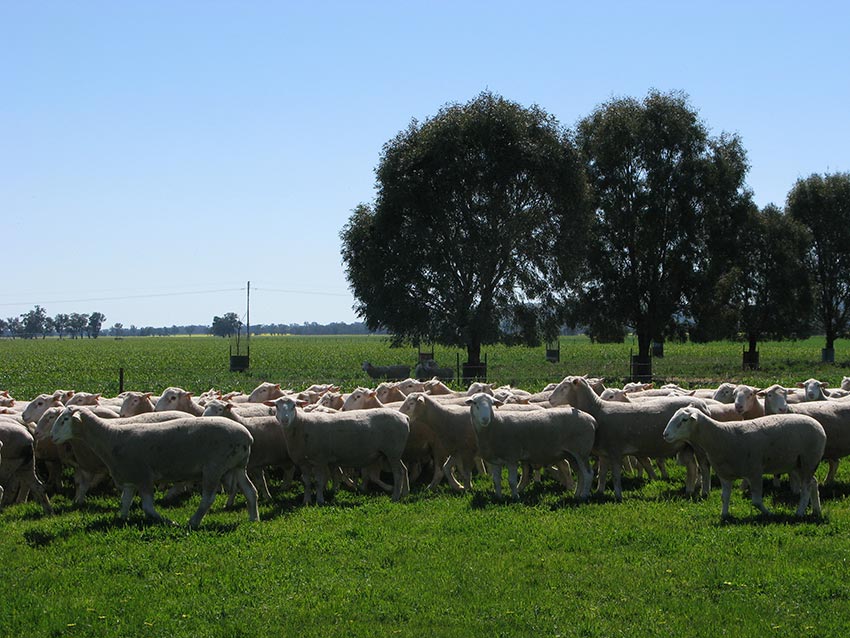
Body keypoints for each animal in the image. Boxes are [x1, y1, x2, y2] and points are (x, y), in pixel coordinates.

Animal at [48, 410, 255, 528]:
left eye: (65, 419)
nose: (51, 437)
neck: (111, 436)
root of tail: (246, 437)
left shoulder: (143, 476)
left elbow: (147, 508)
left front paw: (169, 522)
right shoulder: (130, 479)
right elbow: (124, 503)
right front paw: (121, 520)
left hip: (214, 467)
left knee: (208, 498)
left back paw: (193, 522)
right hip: (238, 466)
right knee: (250, 491)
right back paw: (254, 519)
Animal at [464, 392, 596, 502]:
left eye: (492, 404)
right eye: (475, 403)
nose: (485, 419)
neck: (494, 425)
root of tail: (591, 419)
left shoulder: (512, 456)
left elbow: (512, 481)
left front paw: (515, 497)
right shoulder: (495, 460)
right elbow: (496, 481)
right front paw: (498, 497)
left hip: (581, 451)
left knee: (588, 474)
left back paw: (583, 496)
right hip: (572, 455)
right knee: (580, 474)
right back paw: (577, 494)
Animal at [544, 378, 708, 502]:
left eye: (564, 387)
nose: (550, 399)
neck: (598, 409)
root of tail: (703, 405)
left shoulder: (615, 450)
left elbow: (616, 475)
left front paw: (618, 496)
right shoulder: (604, 452)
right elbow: (602, 473)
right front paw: (599, 492)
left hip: (697, 445)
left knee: (701, 467)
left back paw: (700, 490)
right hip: (686, 445)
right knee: (692, 467)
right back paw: (690, 490)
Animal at [664, 410, 820, 520]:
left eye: (684, 420)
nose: (665, 434)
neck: (721, 435)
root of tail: (818, 425)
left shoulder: (755, 472)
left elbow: (756, 501)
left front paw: (769, 514)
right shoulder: (724, 474)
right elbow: (724, 497)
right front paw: (724, 515)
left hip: (809, 461)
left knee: (806, 488)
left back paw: (799, 513)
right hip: (799, 465)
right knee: (813, 482)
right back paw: (816, 510)